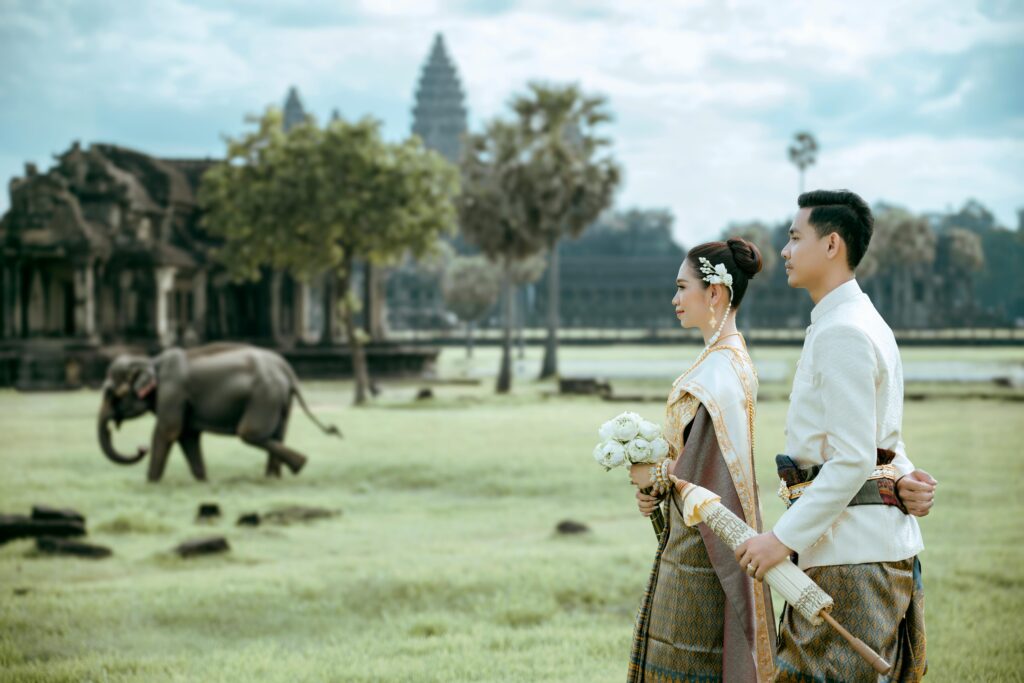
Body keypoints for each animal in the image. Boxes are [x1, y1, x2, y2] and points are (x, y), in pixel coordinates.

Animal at [97, 342, 342, 481]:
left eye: (111, 393)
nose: (141, 448)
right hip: (280, 401)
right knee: (276, 435)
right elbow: (187, 436)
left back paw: (298, 465)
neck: (152, 361)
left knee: (250, 433)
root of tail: (288, 370)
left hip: (264, 396)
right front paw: (202, 480)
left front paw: (151, 482)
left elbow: (168, 431)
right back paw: (275, 477)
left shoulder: (173, 392)